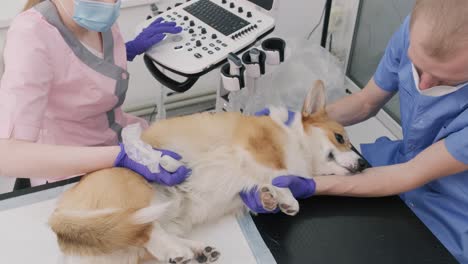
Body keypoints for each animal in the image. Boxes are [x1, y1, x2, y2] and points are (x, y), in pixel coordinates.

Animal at [49, 81, 368, 264]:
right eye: (340, 138)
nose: (365, 165)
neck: (296, 141)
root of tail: (60, 216)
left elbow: (265, 187)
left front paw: (271, 199)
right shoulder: (255, 149)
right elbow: (275, 172)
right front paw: (288, 198)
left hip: (169, 217)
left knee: (146, 239)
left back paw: (197, 251)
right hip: (137, 192)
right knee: (147, 231)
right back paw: (177, 253)